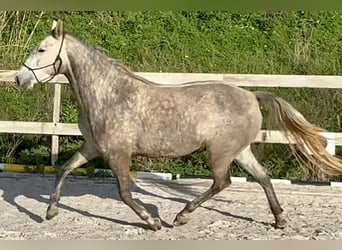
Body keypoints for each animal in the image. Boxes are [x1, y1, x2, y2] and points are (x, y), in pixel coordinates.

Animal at [14, 20, 342, 232]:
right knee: (263, 178)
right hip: (239, 151)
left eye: (41, 50)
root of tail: (252, 95)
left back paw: (181, 216)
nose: (19, 79)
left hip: (219, 153)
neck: (108, 94)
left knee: (222, 182)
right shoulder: (94, 147)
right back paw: (279, 220)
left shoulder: (118, 154)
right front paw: (50, 211)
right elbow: (64, 169)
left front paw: (153, 222)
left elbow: (125, 193)